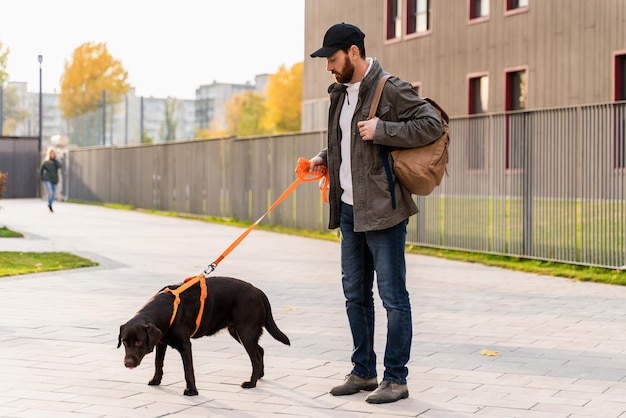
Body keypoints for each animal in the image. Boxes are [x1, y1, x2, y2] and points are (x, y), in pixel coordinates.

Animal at [117, 274, 290, 396]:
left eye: (139, 342)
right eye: (124, 342)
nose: (127, 363)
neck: (167, 308)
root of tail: (258, 290)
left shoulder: (185, 345)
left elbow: (188, 370)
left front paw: (192, 391)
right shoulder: (160, 342)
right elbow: (158, 363)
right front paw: (156, 380)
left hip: (245, 332)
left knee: (255, 357)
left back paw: (251, 383)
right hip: (237, 331)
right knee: (260, 350)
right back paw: (260, 375)